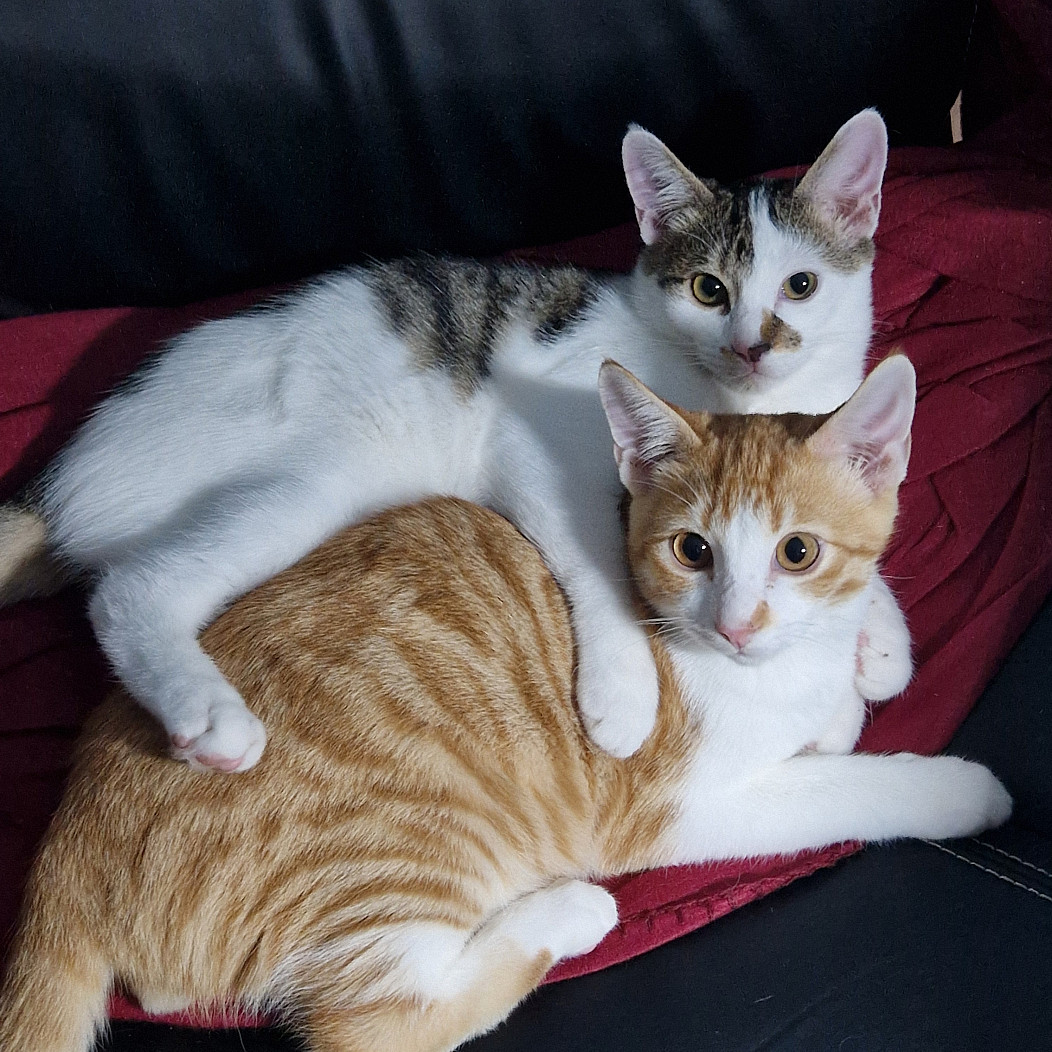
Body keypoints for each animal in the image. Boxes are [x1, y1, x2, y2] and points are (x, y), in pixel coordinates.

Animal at [0, 109, 908, 771]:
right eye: (707, 289)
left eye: (801, 286)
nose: (752, 347)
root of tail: (63, 470)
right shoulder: (535, 445)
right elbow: (600, 557)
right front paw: (624, 692)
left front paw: (881, 638)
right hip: (303, 483)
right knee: (132, 588)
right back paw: (208, 713)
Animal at [0, 355, 1010, 1052]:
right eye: (692, 550)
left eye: (797, 553)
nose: (735, 624)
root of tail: (62, 856)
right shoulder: (672, 808)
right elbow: (845, 787)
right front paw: (959, 790)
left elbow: (838, 716)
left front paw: (846, 694)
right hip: (402, 852)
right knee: (375, 1026)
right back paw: (571, 915)